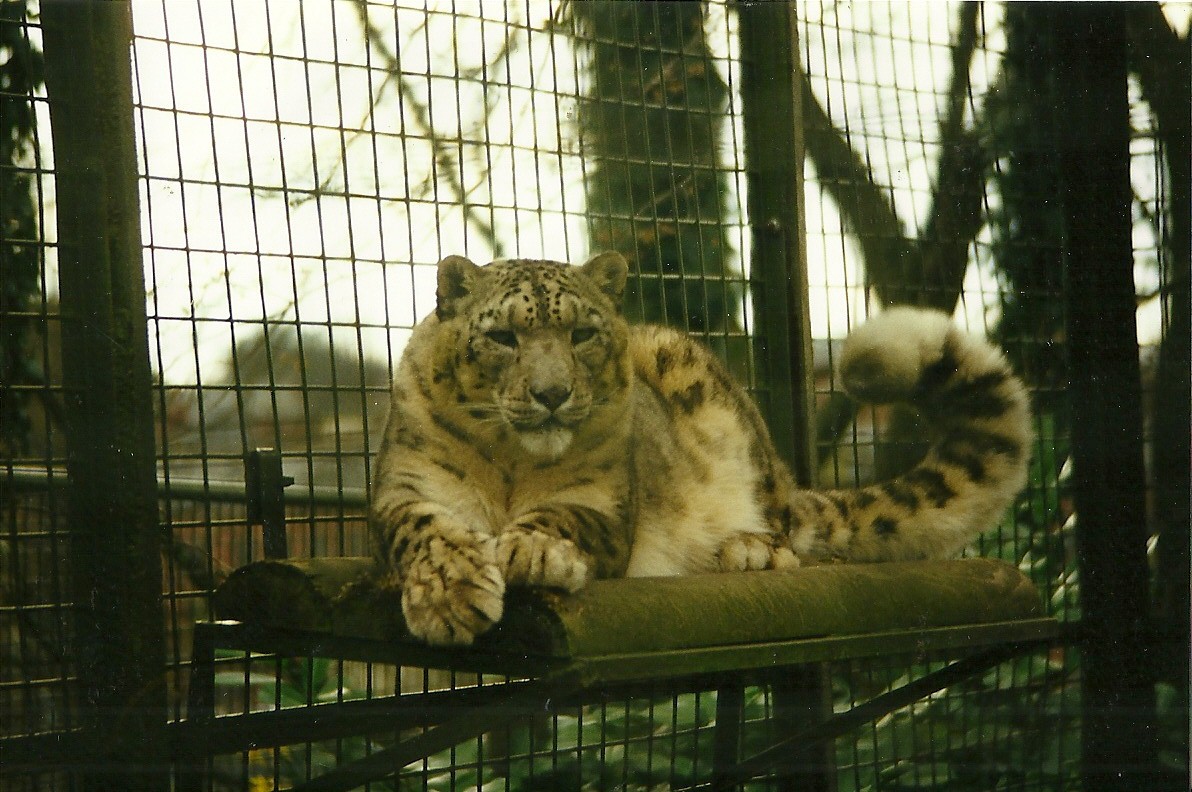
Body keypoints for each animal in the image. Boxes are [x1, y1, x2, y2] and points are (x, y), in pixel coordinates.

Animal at [369, 252, 1032, 645]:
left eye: (581, 333)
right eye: (504, 336)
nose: (552, 394)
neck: (511, 463)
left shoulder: (605, 502)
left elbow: (562, 515)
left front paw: (531, 550)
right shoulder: (407, 488)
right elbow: (426, 531)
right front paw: (450, 593)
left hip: (700, 387)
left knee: (787, 533)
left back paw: (746, 549)